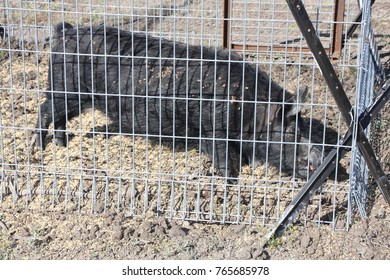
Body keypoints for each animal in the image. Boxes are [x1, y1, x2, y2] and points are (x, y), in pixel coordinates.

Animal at [32, 22, 322, 179]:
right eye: (291, 131)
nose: (318, 160)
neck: (247, 107)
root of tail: (66, 32)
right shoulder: (212, 129)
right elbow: (223, 158)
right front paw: (229, 181)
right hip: (65, 88)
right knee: (44, 109)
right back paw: (40, 147)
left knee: (59, 117)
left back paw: (63, 145)